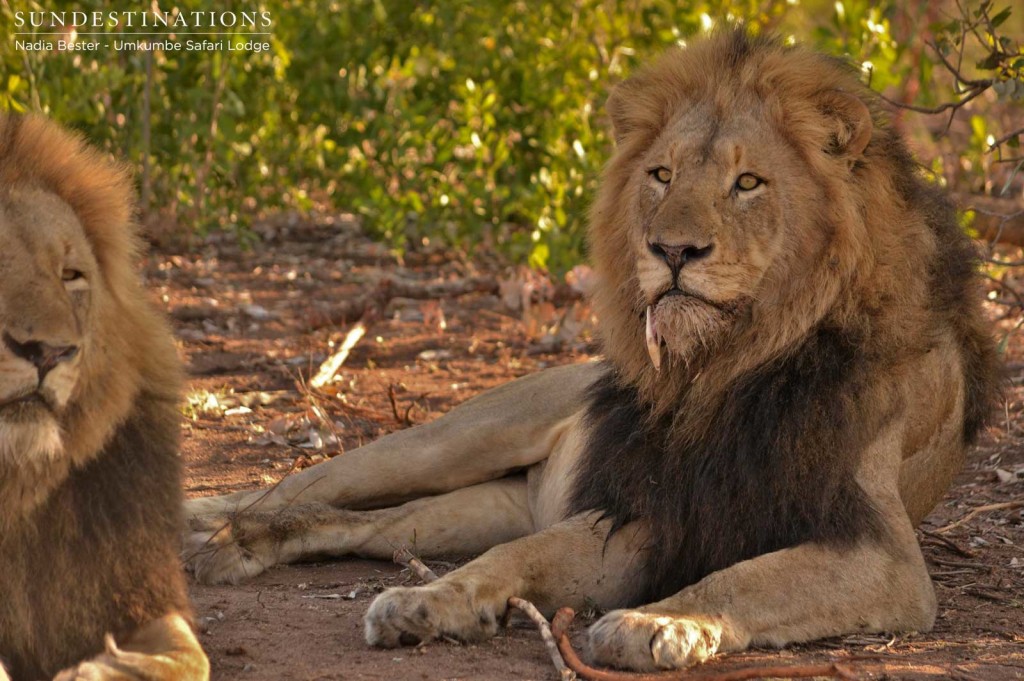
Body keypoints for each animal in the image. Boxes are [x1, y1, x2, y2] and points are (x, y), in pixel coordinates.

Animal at [186, 33, 999, 667]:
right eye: (661, 174)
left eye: (748, 183)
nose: (672, 249)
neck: (723, 366)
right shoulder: (644, 509)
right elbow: (520, 559)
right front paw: (432, 601)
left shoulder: (879, 552)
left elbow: (744, 578)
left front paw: (659, 620)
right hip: (452, 439)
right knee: (305, 484)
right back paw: (203, 522)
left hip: (490, 502)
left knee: (367, 526)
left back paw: (241, 545)